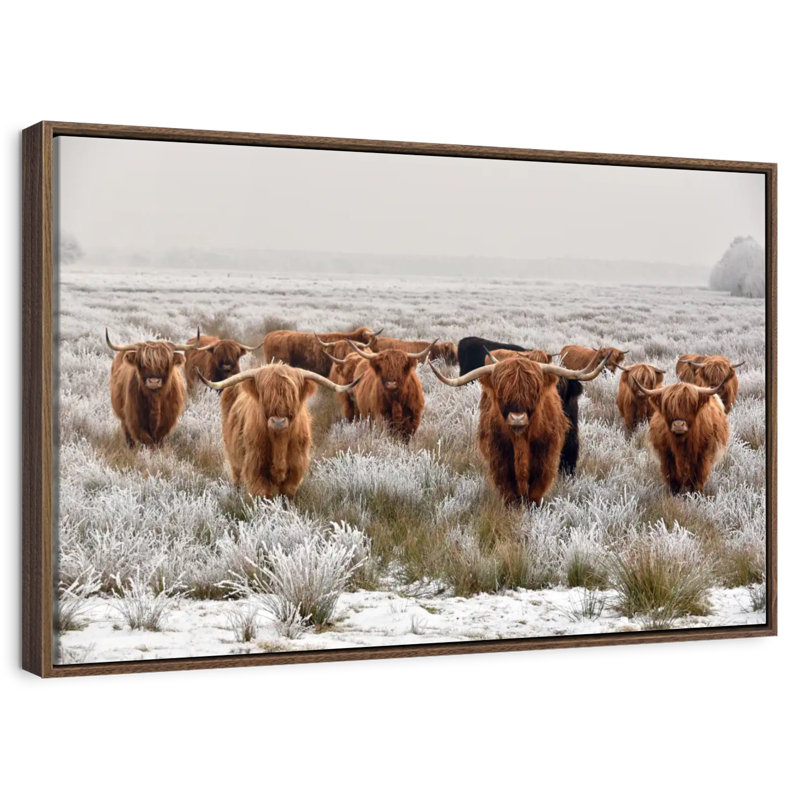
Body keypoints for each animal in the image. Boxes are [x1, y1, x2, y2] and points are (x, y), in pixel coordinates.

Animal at [197, 364, 361, 498]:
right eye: (265, 395)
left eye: (292, 395)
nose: (278, 421)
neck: (279, 442)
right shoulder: (255, 467)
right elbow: (263, 496)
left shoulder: (296, 468)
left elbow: (287, 495)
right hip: (234, 459)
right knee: (236, 477)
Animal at [428, 354, 610, 504]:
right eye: (501, 392)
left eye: (534, 391)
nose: (517, 418)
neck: (520, 439)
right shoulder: (499, 458)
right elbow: (509, 490)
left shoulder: (545, 459)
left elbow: (536, 490)